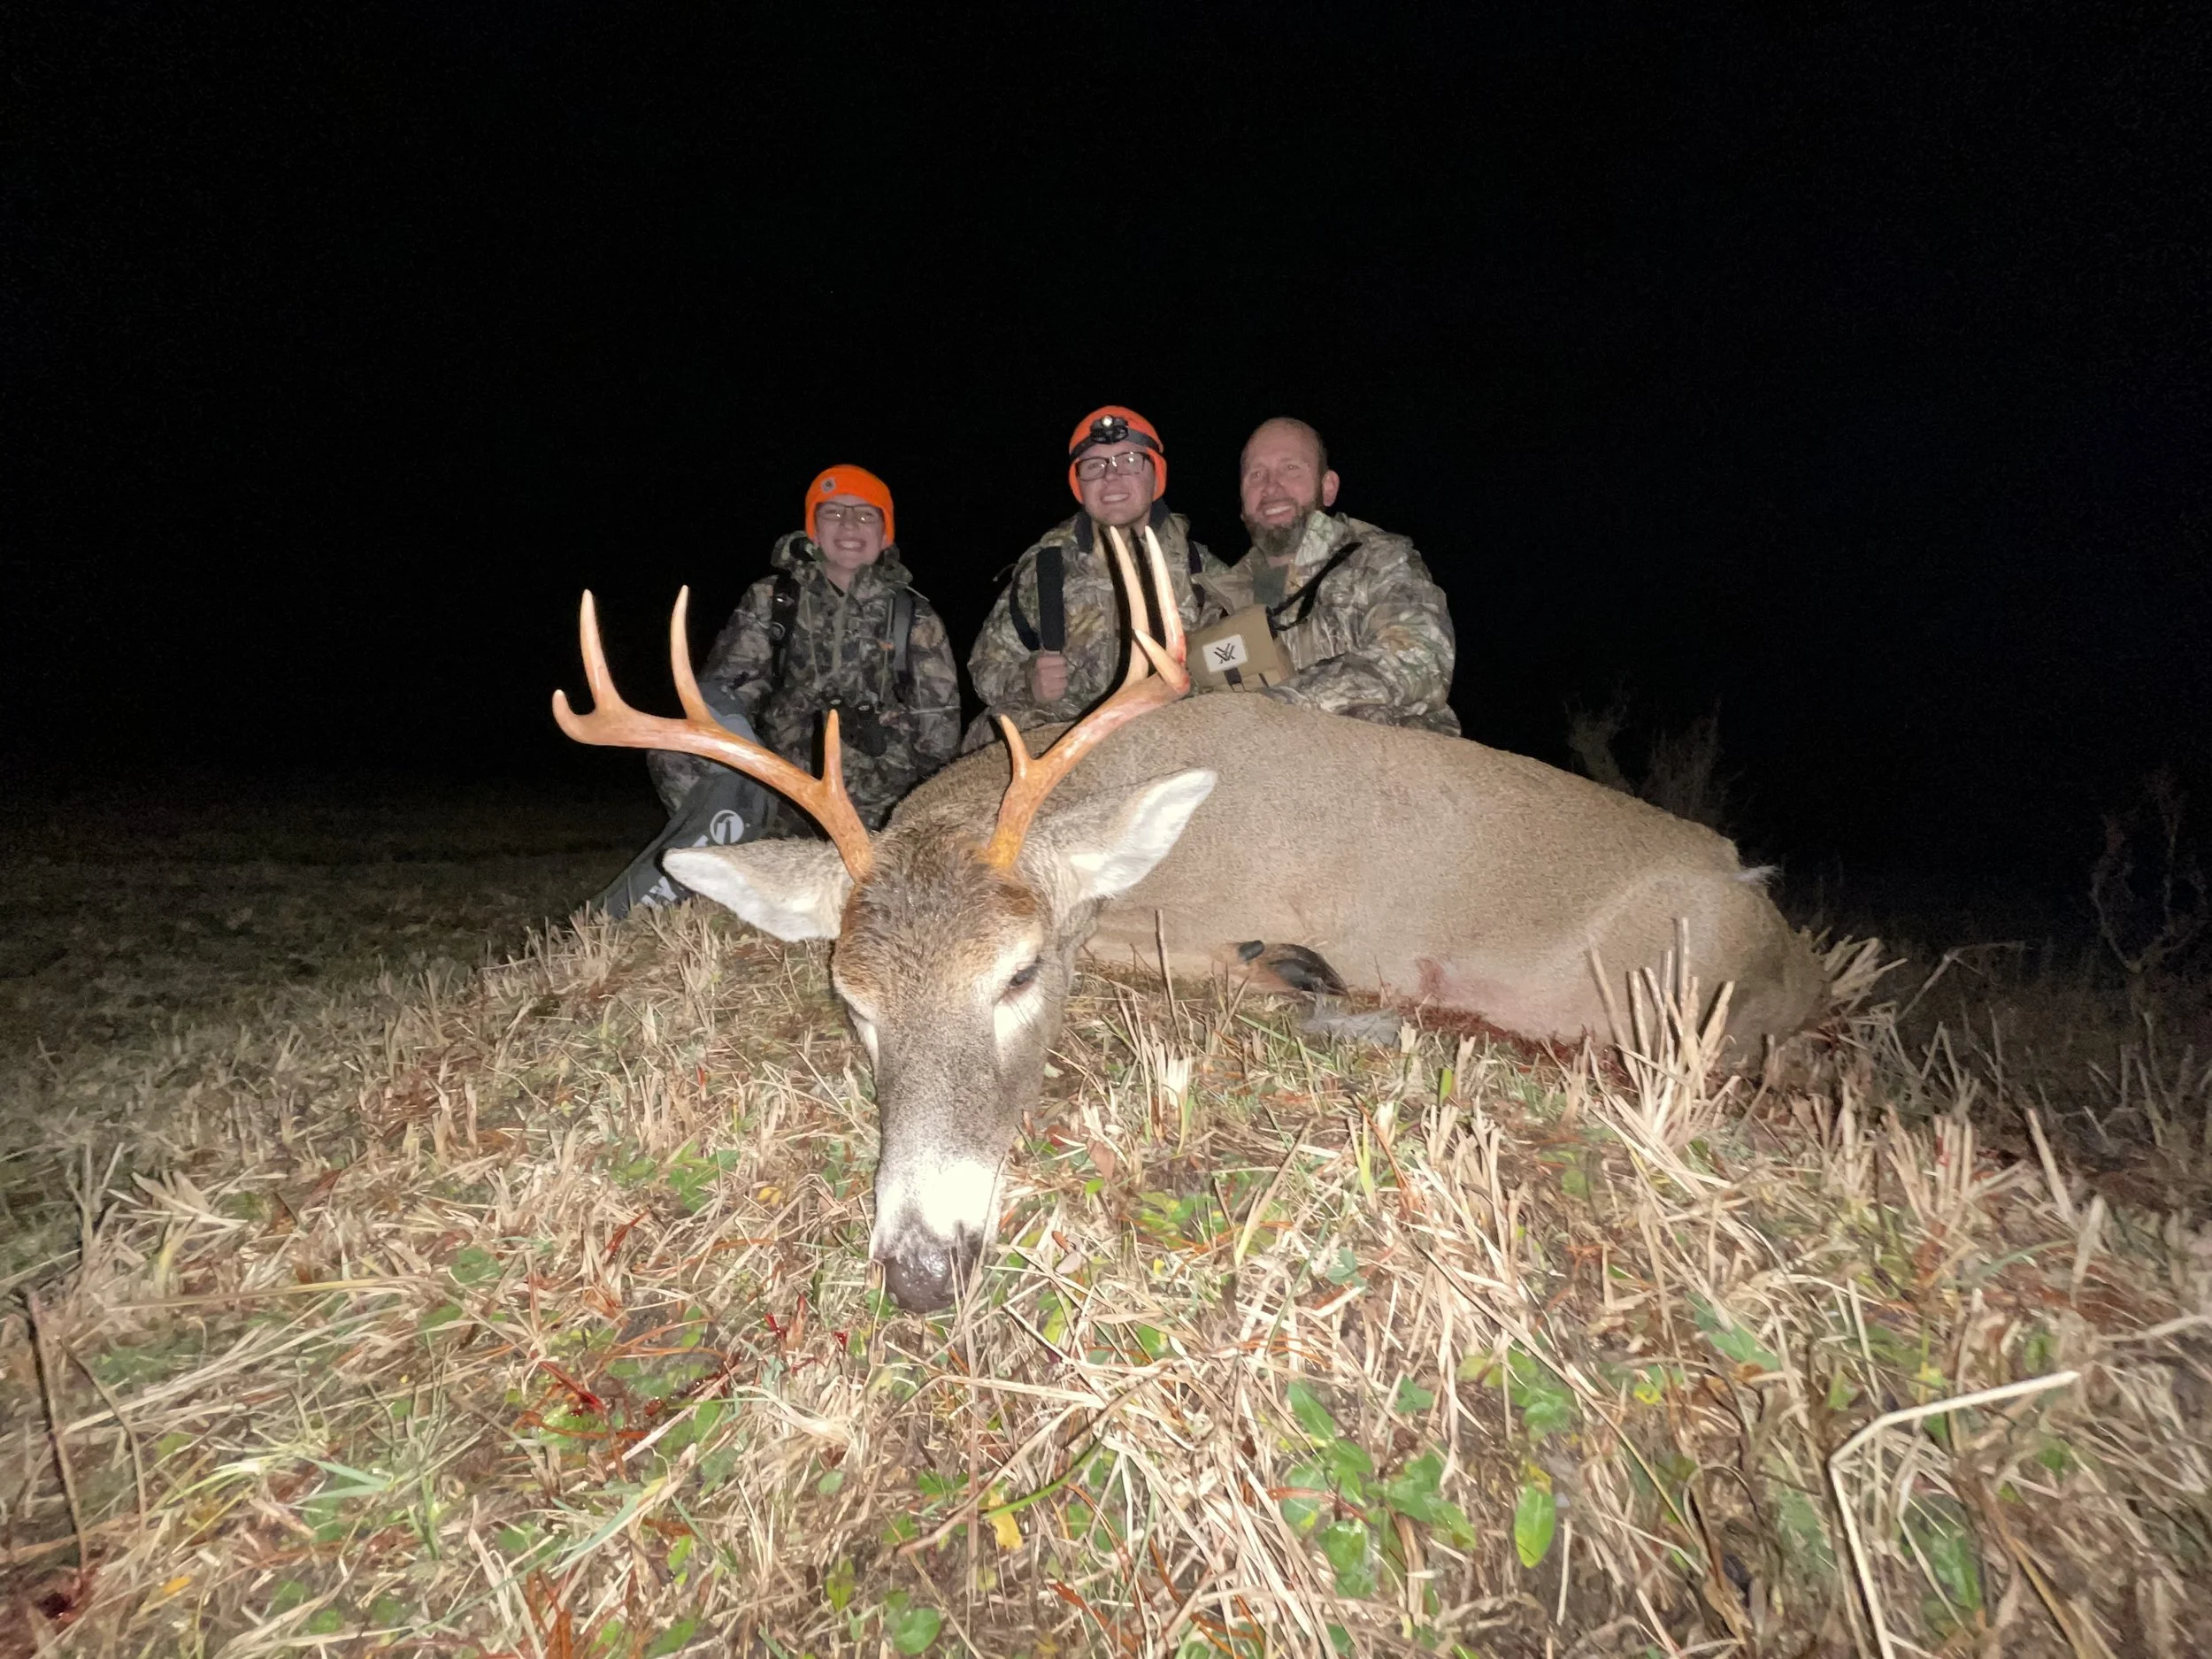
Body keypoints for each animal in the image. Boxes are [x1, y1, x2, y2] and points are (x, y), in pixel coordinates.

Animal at [555, 528, 1826, 1310]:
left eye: (1020, 972)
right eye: (852, 1000)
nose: (920, 1268)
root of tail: (1783, 933)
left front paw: (1318, 982)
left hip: (1681, 996)